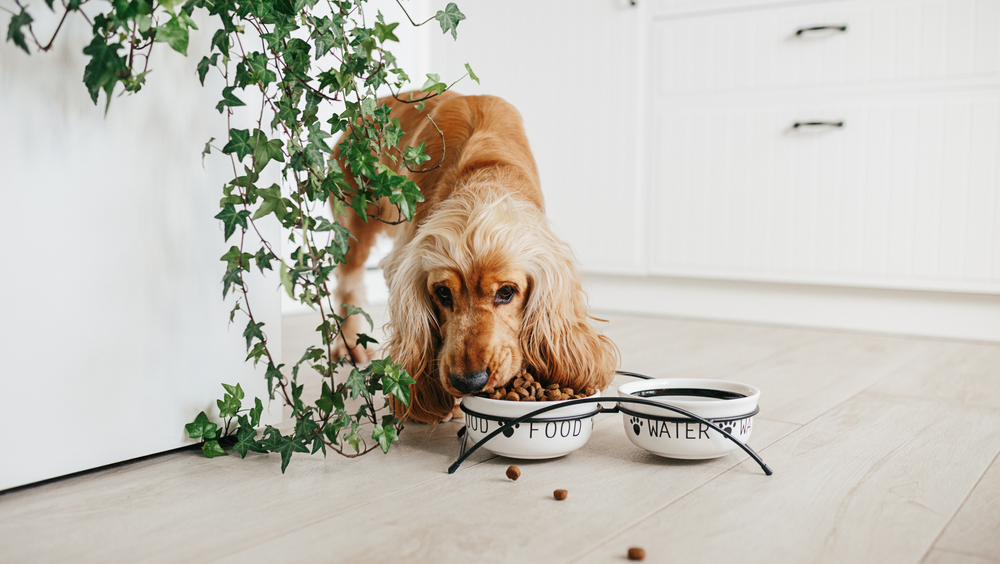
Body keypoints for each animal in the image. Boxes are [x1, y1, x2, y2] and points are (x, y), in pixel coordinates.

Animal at [328, 91, 616, 424]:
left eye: (507, 292)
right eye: (442, 293)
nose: (468, 382)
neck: (483, 181)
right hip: (353, 221)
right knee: (348, 280)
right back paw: (350, 345)